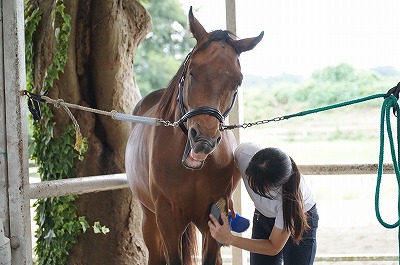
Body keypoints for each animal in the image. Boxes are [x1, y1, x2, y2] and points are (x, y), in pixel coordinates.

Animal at [125, 7, 262, 264]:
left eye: (237, 81)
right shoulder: (167, 221)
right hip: (150, 220)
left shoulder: (214, 218)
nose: (204, 140)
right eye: (192, 71)